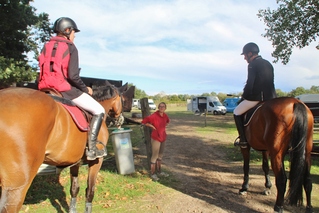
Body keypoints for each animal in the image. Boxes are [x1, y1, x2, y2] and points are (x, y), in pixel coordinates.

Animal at [0, 82, 127, 213]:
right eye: (123, 100)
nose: (121, 120)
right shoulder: (97, 161)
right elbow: (90, 191)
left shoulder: (75, 162)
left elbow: (74, 189)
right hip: (17, 185)